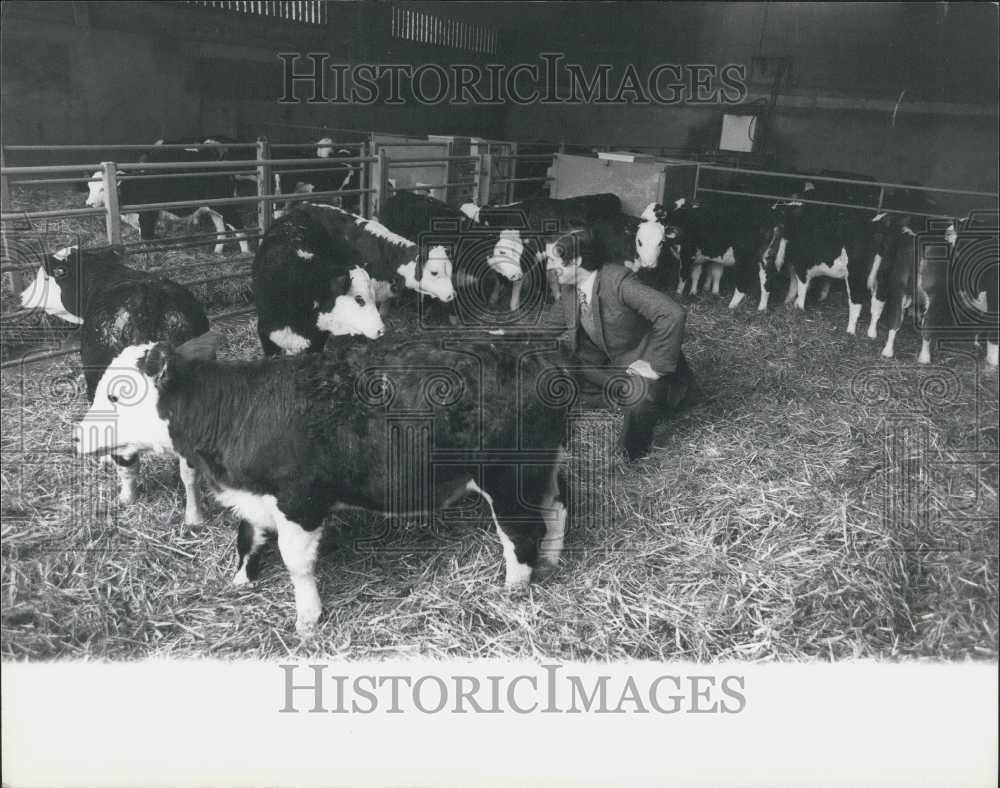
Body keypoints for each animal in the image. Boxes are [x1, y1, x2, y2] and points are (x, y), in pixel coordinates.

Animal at [74, 336, 576, 632]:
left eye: (117, 394)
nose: (78, 436)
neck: (236, 410)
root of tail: (540, 356)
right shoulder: (256, 498)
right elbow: (247, 538)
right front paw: (240, 581)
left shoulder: (300, 500)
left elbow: (296, 563)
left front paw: (308, 618)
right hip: (542, 470)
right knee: (558, 506)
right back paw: (552, 562)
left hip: (508, 479)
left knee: (522, 532)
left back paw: (514, 589)